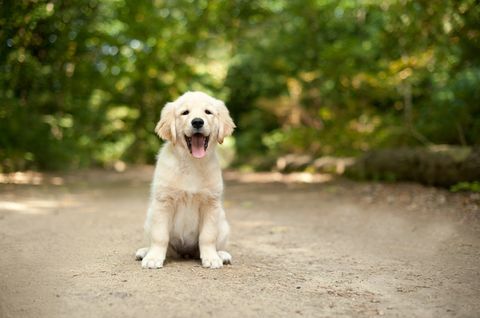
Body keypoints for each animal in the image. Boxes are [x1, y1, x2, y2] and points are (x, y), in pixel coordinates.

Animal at [134, 91, 235, 268]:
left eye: (208, 112)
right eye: (185, 113)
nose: (197, 122)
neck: (192, 162)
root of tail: (185, 253)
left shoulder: (211, 203)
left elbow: (208, 236)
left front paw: (211, 258)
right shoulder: (163, 202)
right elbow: (160, 236)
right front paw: (153, 258)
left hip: (223, 223)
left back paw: (222, 254)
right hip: (149, 217)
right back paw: (144, 252)